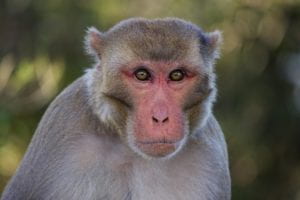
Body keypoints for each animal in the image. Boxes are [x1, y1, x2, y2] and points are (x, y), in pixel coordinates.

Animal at [0, 18, 231, 199]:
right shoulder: (63, 126)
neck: (130, 150)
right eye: (142, 75)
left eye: (176, 75)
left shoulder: (210, 154)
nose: (160, 117)